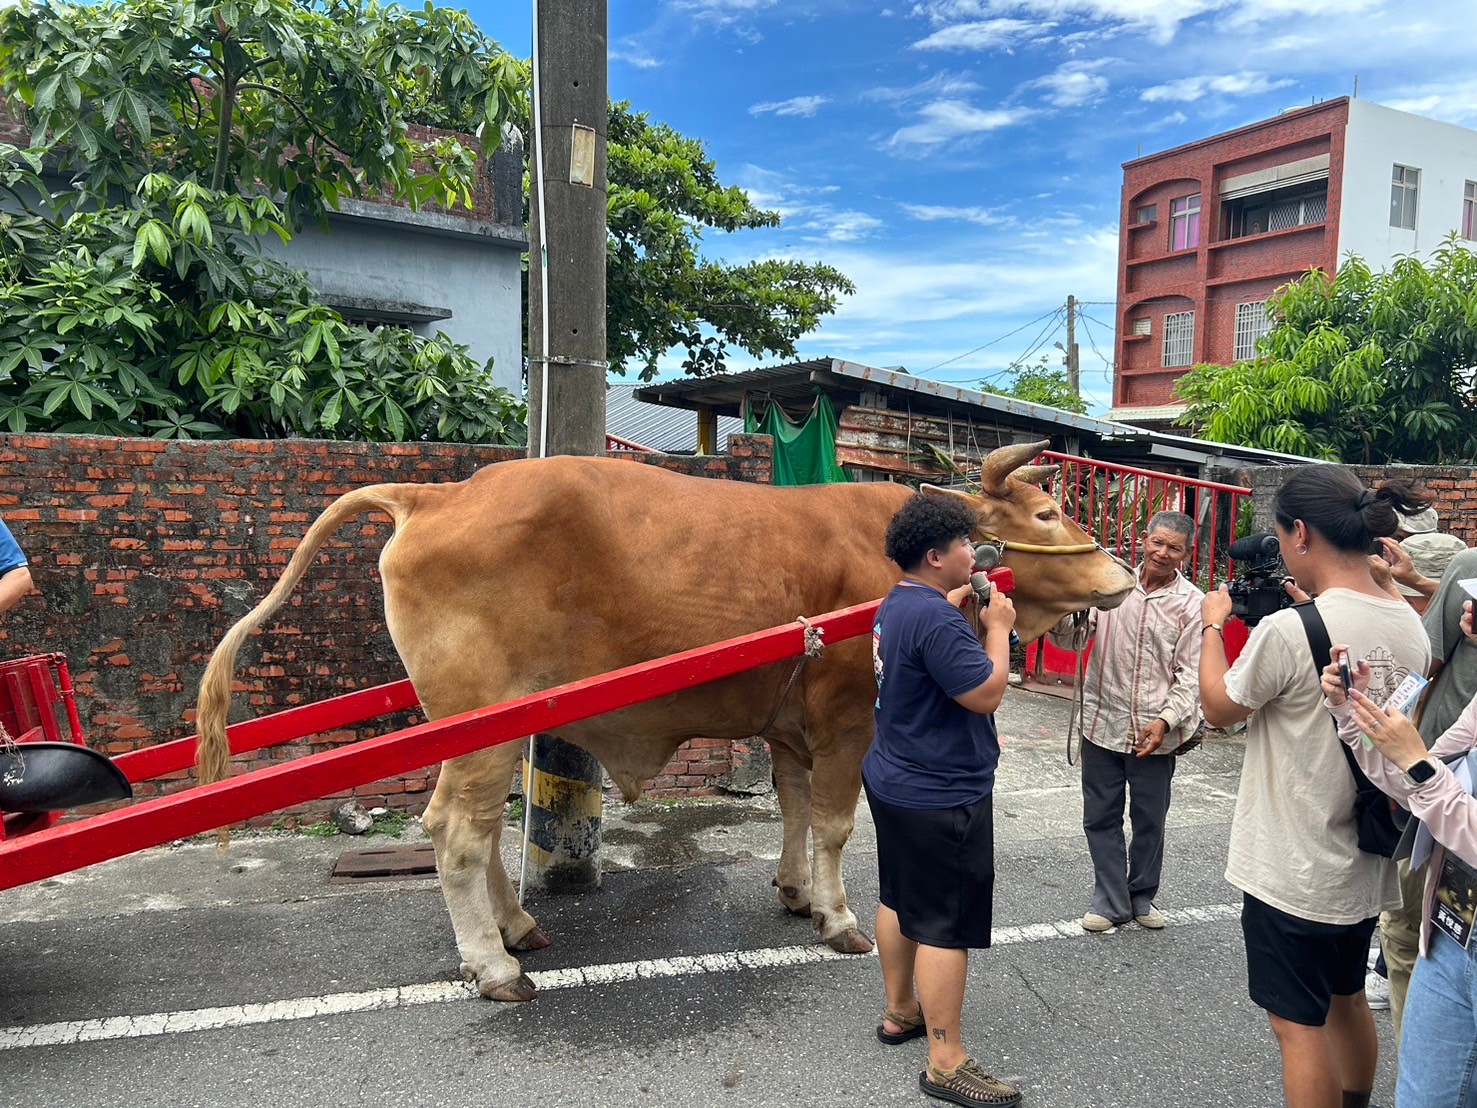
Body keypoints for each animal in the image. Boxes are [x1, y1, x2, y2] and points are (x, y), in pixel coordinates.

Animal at [196, 437, 1134, 1004]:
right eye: (1046, 515)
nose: (1122, 575)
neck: (894, 549)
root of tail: (436, 494)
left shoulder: (787, 728)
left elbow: (795, 812)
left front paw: (794, 891)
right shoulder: (844, 720)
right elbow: (834, 825)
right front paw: (836, 918)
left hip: (481, 732)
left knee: (482, 832)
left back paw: (517, 929)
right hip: (483, 723)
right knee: (455, 832)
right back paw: (494, 964)